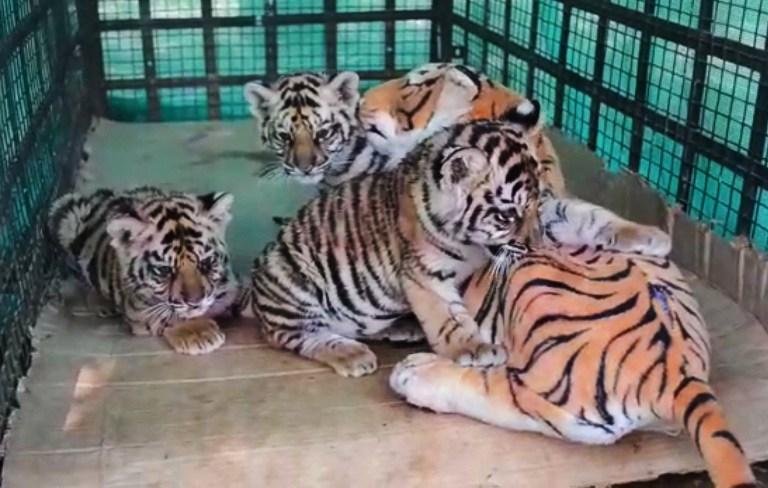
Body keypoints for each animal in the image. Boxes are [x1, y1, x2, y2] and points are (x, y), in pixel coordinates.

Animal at [48, 186, 239, 355]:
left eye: (206, 262)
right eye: (165, 270)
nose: (196, 302)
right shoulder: (138, 308)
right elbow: (167, 315)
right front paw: (199, 333)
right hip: (68, 216)